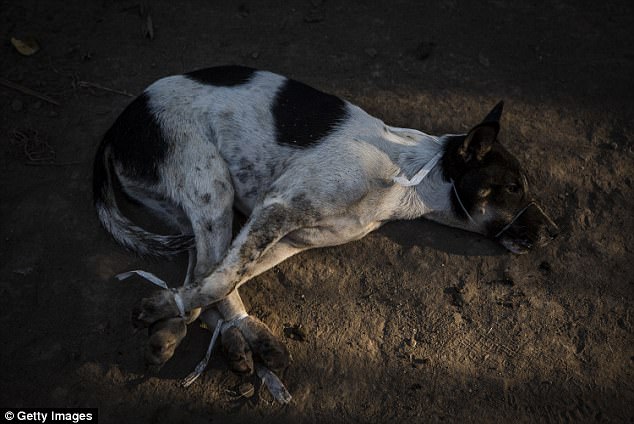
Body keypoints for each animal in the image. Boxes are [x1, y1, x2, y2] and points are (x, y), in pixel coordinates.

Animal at [91, 65, 556, 378]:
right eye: (513, 187)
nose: (554, 232)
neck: (405, 173)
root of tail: (117, 126)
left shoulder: (294, 237)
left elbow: (225, 279)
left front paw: (183, 321)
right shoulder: (277, 206)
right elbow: (221, 279)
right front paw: (163, 312)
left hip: (190, 210)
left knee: (197, 267)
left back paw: (206, 332)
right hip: (211, 187)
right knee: (206, 267)